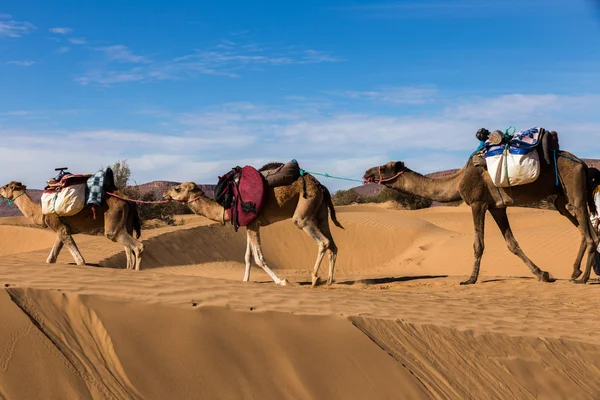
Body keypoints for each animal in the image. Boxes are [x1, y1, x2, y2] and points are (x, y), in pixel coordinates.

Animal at [0, 180, 144, 268]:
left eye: (6, 186)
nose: (0, 189)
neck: (40, 212)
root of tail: (127, 199)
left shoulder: (59, 226)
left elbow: (80, 260)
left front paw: (82, 263)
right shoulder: (63, 228)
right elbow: (52, 256)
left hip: (114, 220)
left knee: (136, 246)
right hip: (126, 222)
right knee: (128, 249)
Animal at [163, 169, 342, 288]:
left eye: (177, 188)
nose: (165, 193)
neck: (228, 205)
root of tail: (320, 185)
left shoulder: (253, 224)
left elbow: (258, 258)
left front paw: (281, 281)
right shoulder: (249, 225)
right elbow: (248, 257)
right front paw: (245, 280)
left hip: (305, 207)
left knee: (322, 241)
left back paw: (315, 278)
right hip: (320, 211)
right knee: (333, 244)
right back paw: (329, 281)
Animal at [364, 142, 596, 282]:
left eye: (385, 167)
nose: (367, 172)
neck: (458, 180)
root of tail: (583, 164)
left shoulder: (477, 203)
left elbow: (478, 244)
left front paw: (470, 279)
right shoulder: (497, 207)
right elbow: (512, 243)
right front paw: (542, 273)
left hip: (574, 188)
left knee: (589, 233)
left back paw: (583, 278)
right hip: (562, 197)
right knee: (586, 229)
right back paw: (576, 272)